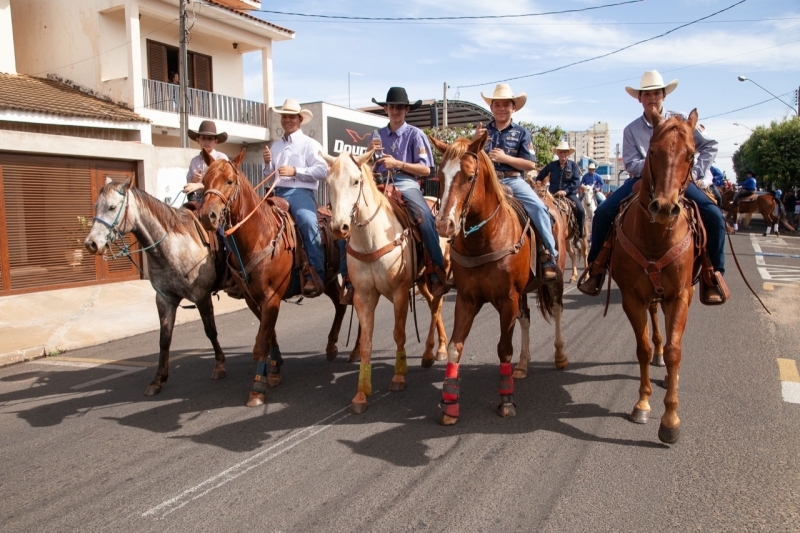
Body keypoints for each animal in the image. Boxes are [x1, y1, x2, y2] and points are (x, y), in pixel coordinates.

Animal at [84, 177, 227, 392]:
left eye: (112, 207)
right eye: (95, 206)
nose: (91, 244)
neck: (173, 246)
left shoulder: (201, 296)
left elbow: (210, 330)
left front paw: (219, 365)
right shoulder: (164, 300)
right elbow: (164, 339)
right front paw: (158, 379)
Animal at [195, 148, 348, 406]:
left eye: (230, 181)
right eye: (204, 181)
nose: (208, 216)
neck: (259, 236)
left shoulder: (271, 297)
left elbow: (262, 342)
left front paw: (258, 387)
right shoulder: (253, 299)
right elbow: (269, 334)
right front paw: (274, 370)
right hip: (327, 280)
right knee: (340, 304)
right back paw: (331, 346)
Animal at [324, 150, 450, 416]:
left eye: (356, 181)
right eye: (328, 183)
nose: (339, 227)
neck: (371, 238)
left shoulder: (400, 292)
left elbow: (399, 333)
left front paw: (398, 377)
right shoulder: (363, 296)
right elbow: (366, 343)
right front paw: (361, 394)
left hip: (439, 273)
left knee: (437, 305)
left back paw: (431, 352)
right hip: (421, 281)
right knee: (433, 304)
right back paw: (439, 348)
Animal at [432, 130, 568, 424]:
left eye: (470, 176)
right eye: (440, 176)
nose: (444, 225)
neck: (485, 238)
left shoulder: (507, 300)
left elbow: (504, 348)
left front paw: (506, 399)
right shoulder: (467, 299)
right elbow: (455, 347)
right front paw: (450, 403)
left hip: (556, 279)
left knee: (557, 309)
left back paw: (560, 355)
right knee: (526, 318)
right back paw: (523, 364)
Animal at [608, 107, 704, 440]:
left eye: (691, 154)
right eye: (653, 151)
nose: (663, 207)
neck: (657, 236)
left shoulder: (681, 295)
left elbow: (676, 351)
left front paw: (670, 419)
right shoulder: (632, 298)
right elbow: (643, 347)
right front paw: (643, 404)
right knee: (654, 321)